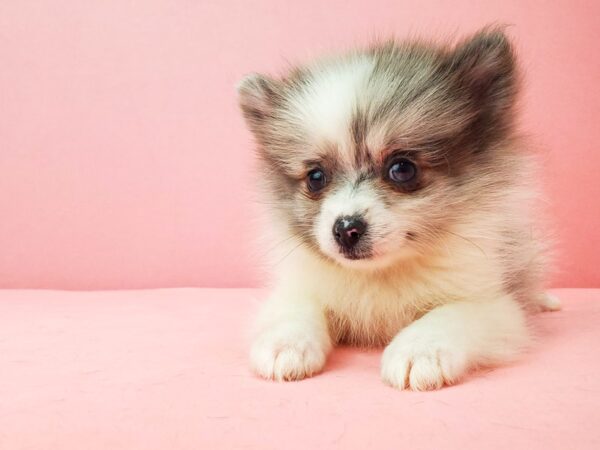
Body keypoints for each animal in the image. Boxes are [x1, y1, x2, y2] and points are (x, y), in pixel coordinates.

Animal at [236, 27, 556, 390]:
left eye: (402, 169)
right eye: (316, 177)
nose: (345, 229)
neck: (380, 274)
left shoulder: (493, 305)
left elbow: (450, 314)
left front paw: (419, 351)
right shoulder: (301, 287)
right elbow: (295, 309)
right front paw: (284, 344)